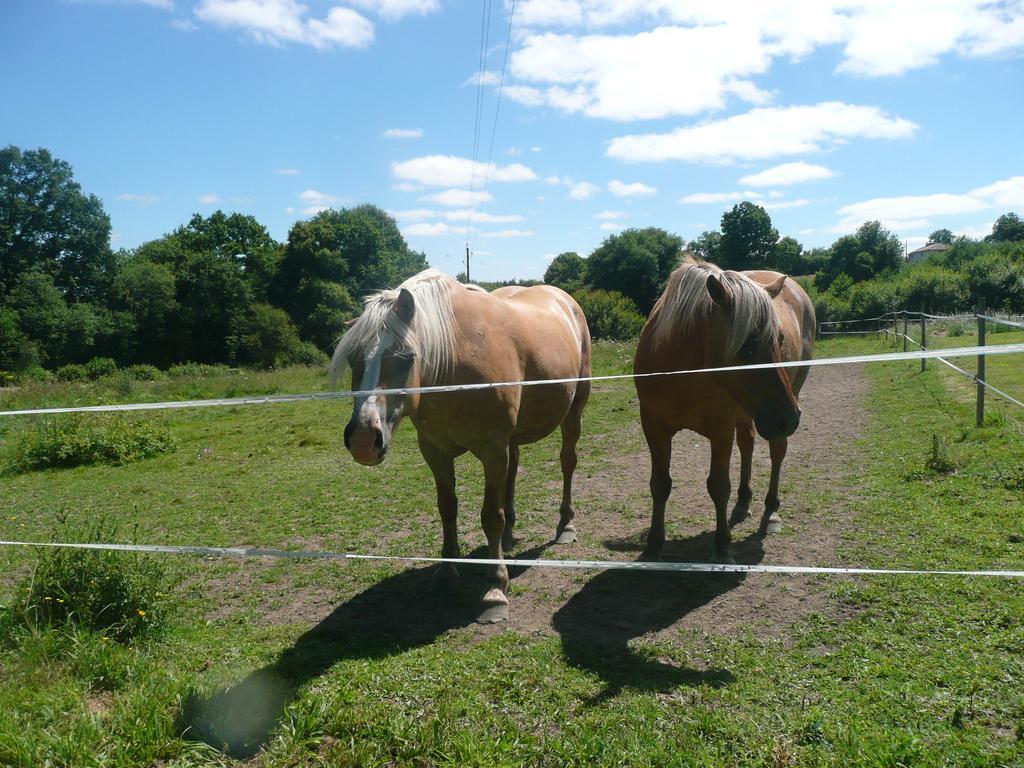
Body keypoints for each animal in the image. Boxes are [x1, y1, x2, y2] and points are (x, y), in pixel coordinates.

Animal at [331, 270, 593, 626]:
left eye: (406, 357)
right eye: (353, 359)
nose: (362, 440)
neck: (454, 366)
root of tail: (565, 300)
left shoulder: (493, 449)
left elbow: (490, 516)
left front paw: (495, 589)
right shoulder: (435, 451)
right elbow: (447, 508)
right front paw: (446, 573)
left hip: (573, 413)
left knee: (568, 462)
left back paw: (565, 525)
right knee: (513, 473)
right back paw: (508, 538)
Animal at [630, 256, 815, 561]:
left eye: (780, 339)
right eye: (747, 346)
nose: (789, 418)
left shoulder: (721, 430)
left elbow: (718, 487)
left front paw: (722, 547)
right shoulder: (654, 426)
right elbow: (660, 484)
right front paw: (654, 546)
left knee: (777, 452)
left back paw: (771, 511)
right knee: (748, 445)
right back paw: (743, 503)